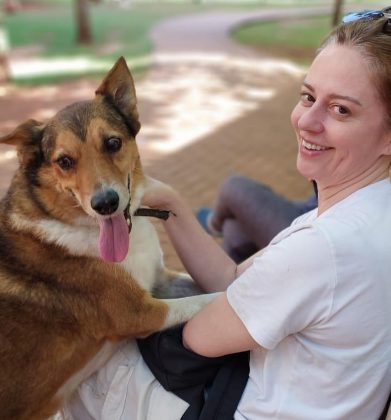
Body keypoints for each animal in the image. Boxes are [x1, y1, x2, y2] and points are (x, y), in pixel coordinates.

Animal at [0, 57, 214, 418]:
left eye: (113, 143)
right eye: (64, 162)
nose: (105, 204)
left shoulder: (159, 280)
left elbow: (208, 285)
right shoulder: (143, 312)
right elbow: (213, 299)